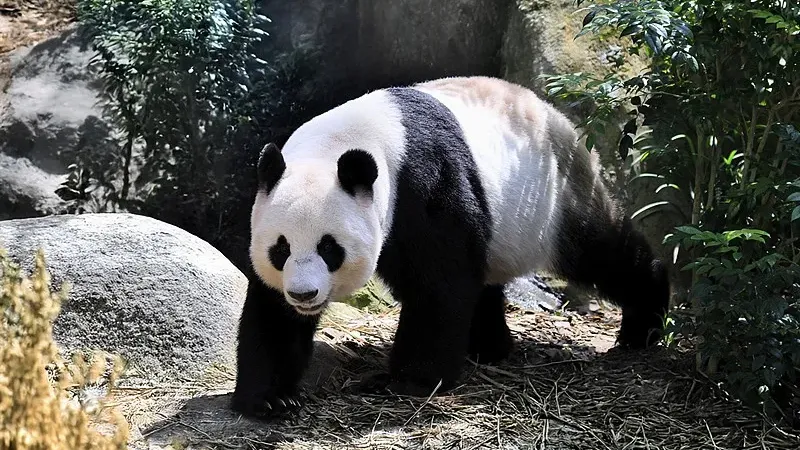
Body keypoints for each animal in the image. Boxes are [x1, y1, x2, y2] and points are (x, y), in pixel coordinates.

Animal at [231, 76, 671, 417]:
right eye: (281, 250)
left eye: (329, 248)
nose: (303, 294)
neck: (343, 142)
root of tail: (556, 115)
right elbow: (272, 312)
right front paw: (270, 399)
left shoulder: (423, 180)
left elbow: (440, 282)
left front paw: (407, 380)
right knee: (485, 280)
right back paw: (488, 346)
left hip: (555, 196)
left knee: (601, 251)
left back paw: (644, 324)